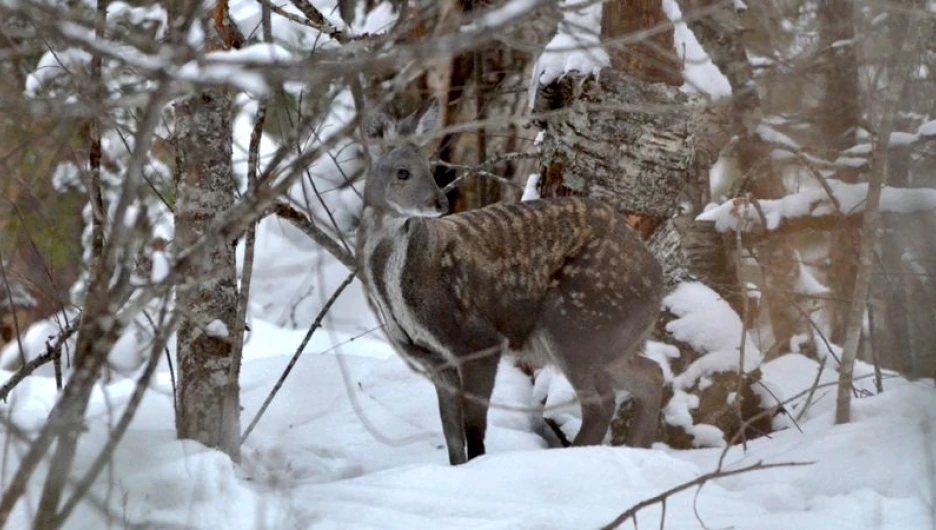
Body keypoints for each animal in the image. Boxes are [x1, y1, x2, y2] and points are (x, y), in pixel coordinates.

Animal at [358, 101, 664, 464]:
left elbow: (474, 429)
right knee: (651, 376)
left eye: (431, 166)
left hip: (576, 324)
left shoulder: (478, 340)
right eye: (402, 172)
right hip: (609, 338)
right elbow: (452, 436)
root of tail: (658, 279)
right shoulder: (431, 359)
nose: (440, 203)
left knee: (602, 403)